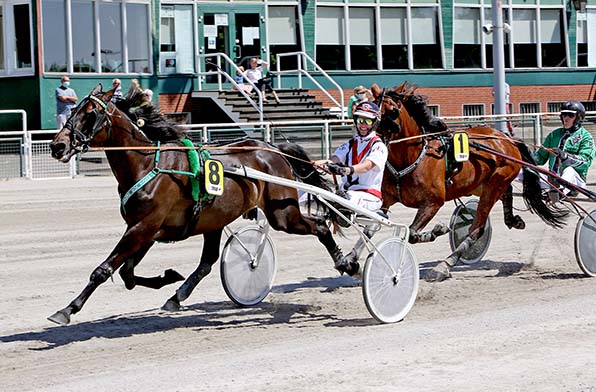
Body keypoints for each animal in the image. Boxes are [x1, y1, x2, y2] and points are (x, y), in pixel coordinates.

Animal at [49, 85, 350, 324]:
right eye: (73, 109)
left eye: (90, 113)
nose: (57, 146)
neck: (147, 164)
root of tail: (272, 150)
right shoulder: (145, 229)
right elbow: (127, 274)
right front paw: (169, 277)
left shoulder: (143, 227)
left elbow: (104, 270)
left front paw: (67, 310)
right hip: (215, 218)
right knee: (207, 262)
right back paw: (177, 295)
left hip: (282, 213)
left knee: (321, 227)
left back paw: (347, 263)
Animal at [370, 82, 564, 282]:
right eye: (371, 108)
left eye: (393, 111)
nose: (372, 137)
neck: (414, 156)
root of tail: (507, 138)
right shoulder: (386, 199)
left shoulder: (432, 203)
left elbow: (413, 234)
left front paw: (438, 230)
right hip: (482, 184)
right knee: (507, 192)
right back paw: (513, 220)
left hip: (493, 186)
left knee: (476, 229)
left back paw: (444, 266)